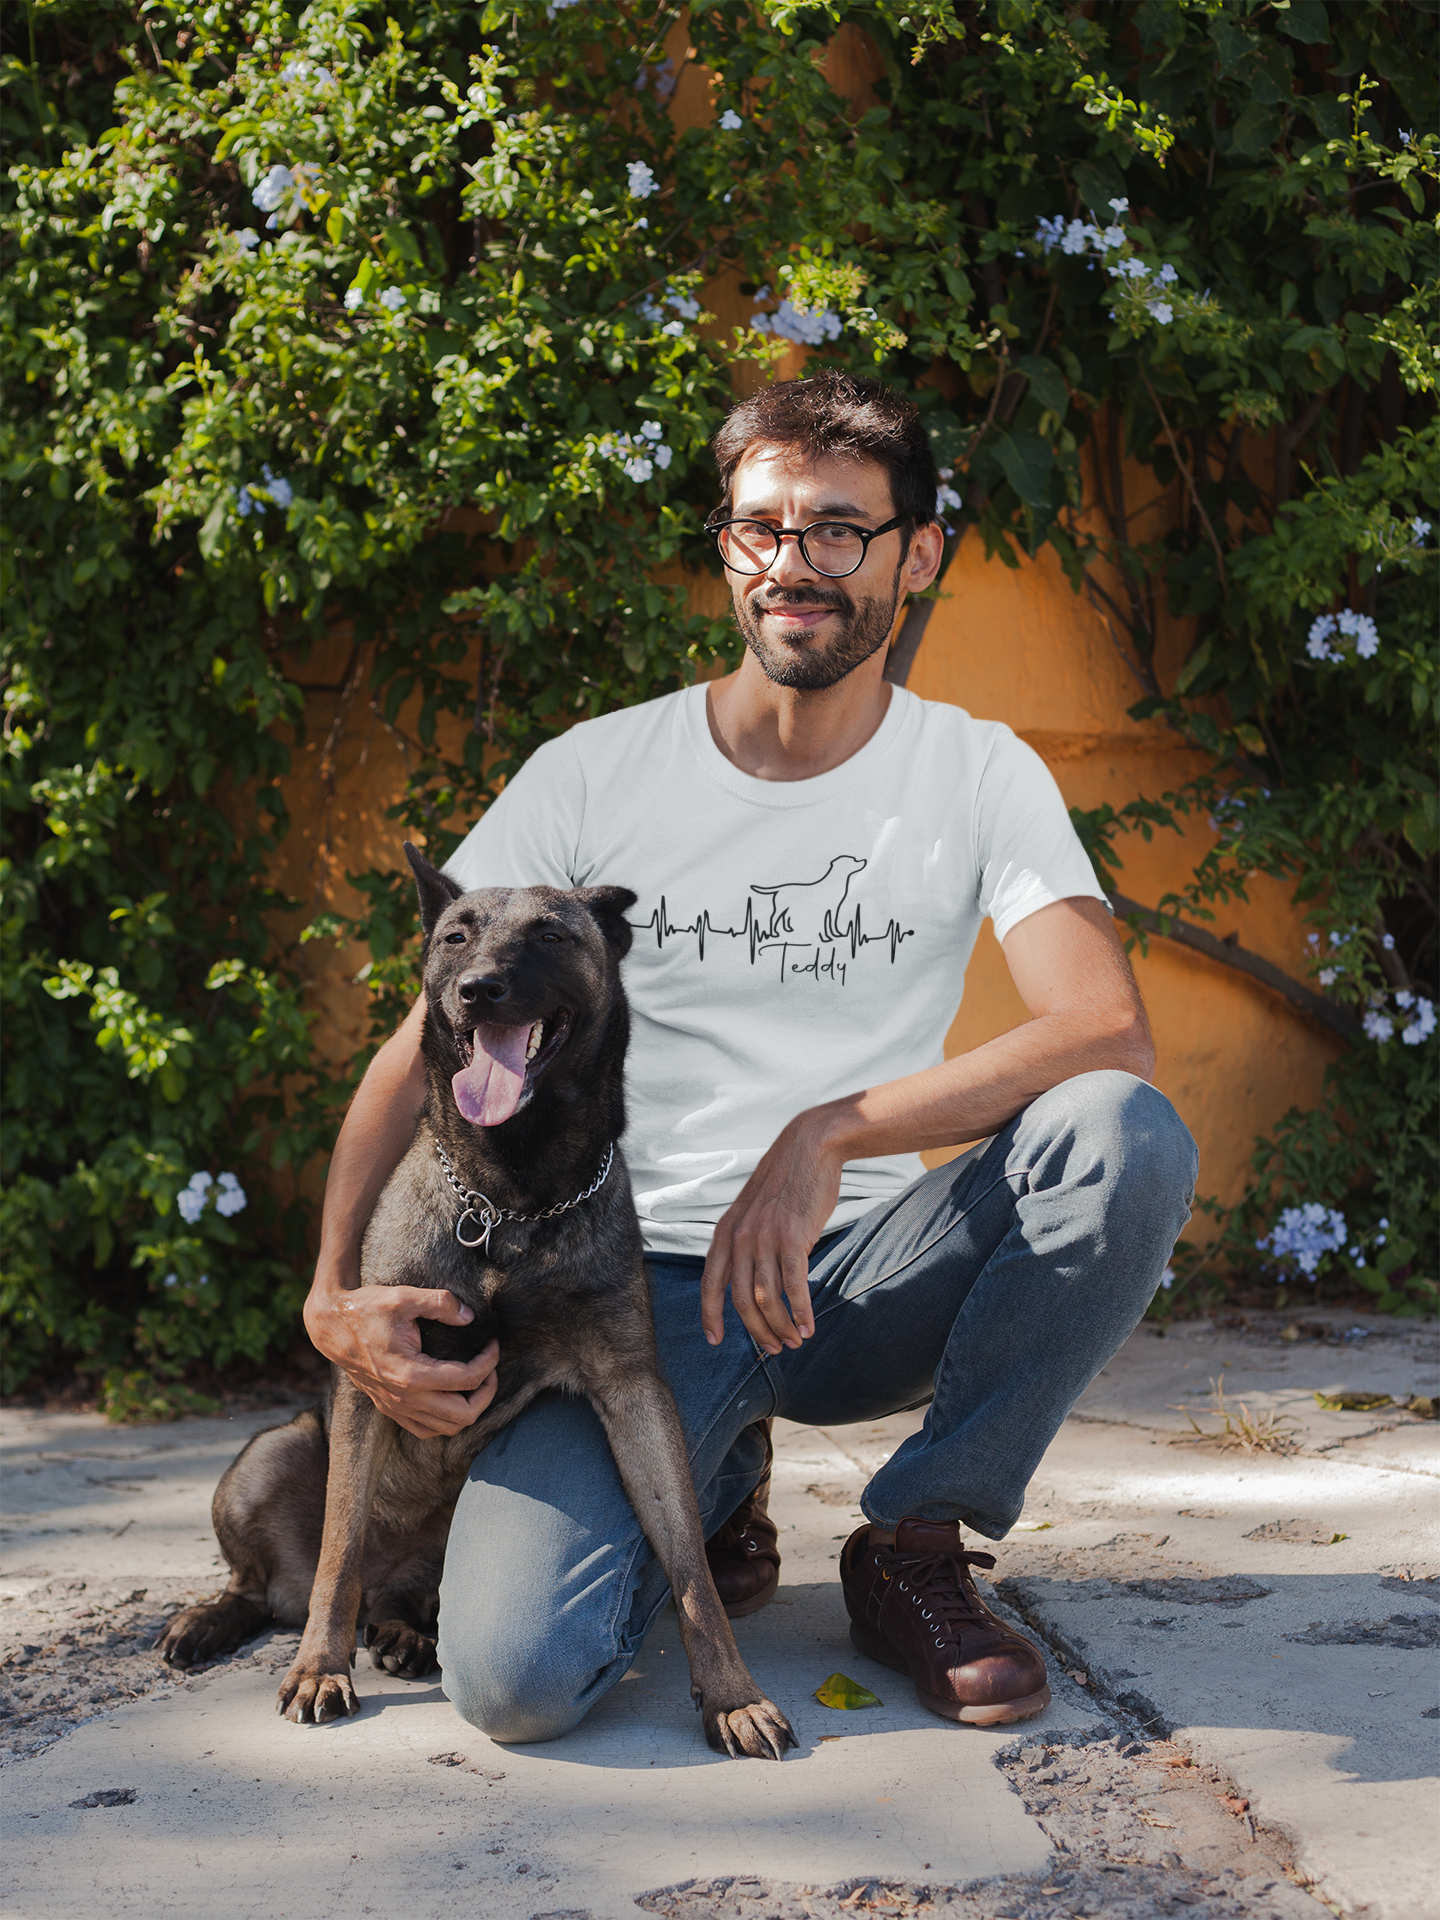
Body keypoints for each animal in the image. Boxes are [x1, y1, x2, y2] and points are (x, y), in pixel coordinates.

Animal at [157, 848, 802, 1758]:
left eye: (551, 935)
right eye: (456, 936)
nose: (480, 989)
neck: (510, 1197)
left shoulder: (635, 1395)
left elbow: (690, 1569)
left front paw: (731, 1695)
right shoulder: (370, 1381)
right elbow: (337, 1556)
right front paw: (320, 1668)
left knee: (390, 1598)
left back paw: (404, 1634)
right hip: (269, 1458)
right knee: (278, 1584)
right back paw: (213, 1623)